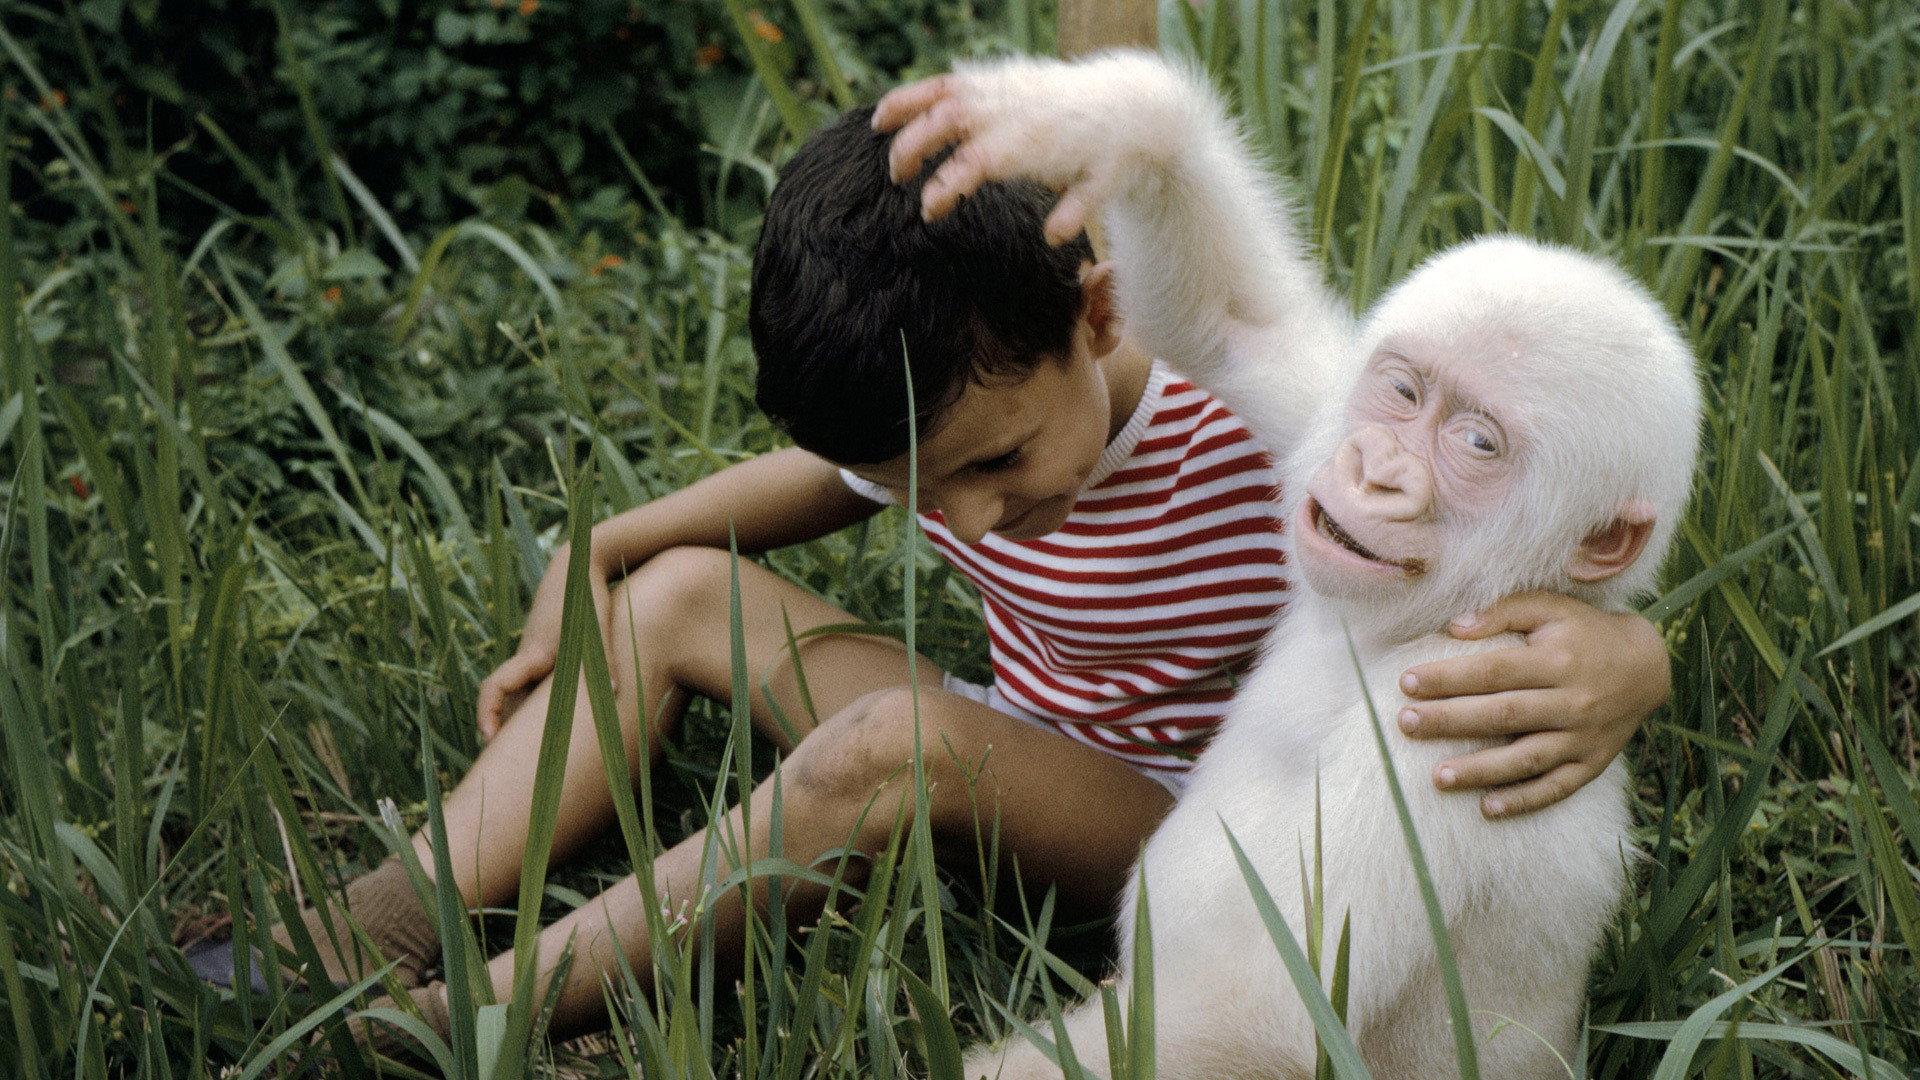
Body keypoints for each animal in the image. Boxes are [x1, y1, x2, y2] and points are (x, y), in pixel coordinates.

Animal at [874, 51, 1701, 1079]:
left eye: (1477, 443)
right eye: (1402, 392)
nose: (1379, 470)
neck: (1408, 630)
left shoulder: (1455, 728)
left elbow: (1256, 1004)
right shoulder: (1320, 407)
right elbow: (1238, 320)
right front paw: (1093, 120)